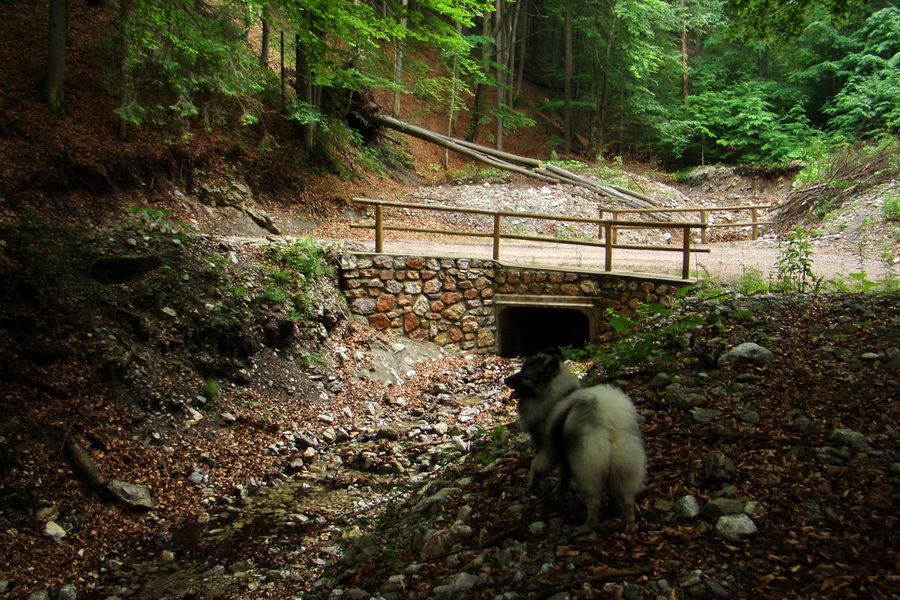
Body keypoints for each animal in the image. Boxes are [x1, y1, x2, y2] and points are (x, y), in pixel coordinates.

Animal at [506, 352, 648, 524]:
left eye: (526, 377)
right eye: (521, 371)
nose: (505, 380)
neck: (555, 397)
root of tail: (608, 421)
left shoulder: (548, 450)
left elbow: (535, 465)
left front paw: (532, 482)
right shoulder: (564, 456)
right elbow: (564, 475)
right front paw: (560, 489)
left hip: (586, 470)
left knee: (594, 501)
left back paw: (590, 524)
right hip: (624, 467)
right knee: (626, 498)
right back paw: (628, 521)